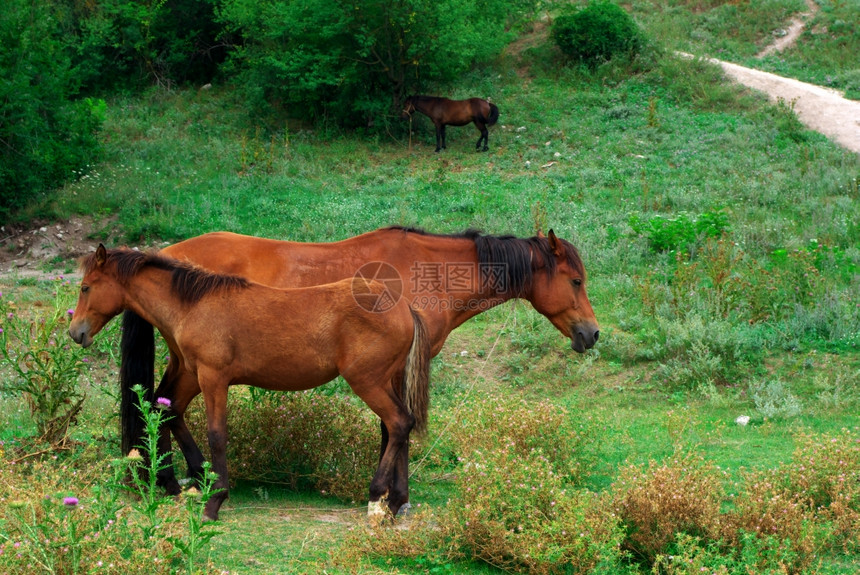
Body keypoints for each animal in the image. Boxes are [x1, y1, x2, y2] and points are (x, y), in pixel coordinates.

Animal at [68, 245, 430, 524]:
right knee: (397, 427)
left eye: (86, 287)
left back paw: (377, 499)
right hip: (388, 381)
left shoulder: (213, 378)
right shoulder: (192, 374)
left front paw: (214, 500)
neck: (193, 305)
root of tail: (403, 308)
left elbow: (216, 435)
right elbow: (170, 412)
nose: (75, 332)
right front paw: (196, 480)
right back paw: (395, 501)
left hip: (367, 381)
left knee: (398, 423)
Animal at [119, 226, 596, 504]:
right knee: (165, 407)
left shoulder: (390, 371)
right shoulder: (391, 371)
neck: (426, 271)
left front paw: (394, 499)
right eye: (575, 280)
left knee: (164, 406)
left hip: (190, 365)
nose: (592, 334)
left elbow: (394, 429)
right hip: (195, 365)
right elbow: (393, 429)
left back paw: (170, 479)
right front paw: (394, 499)